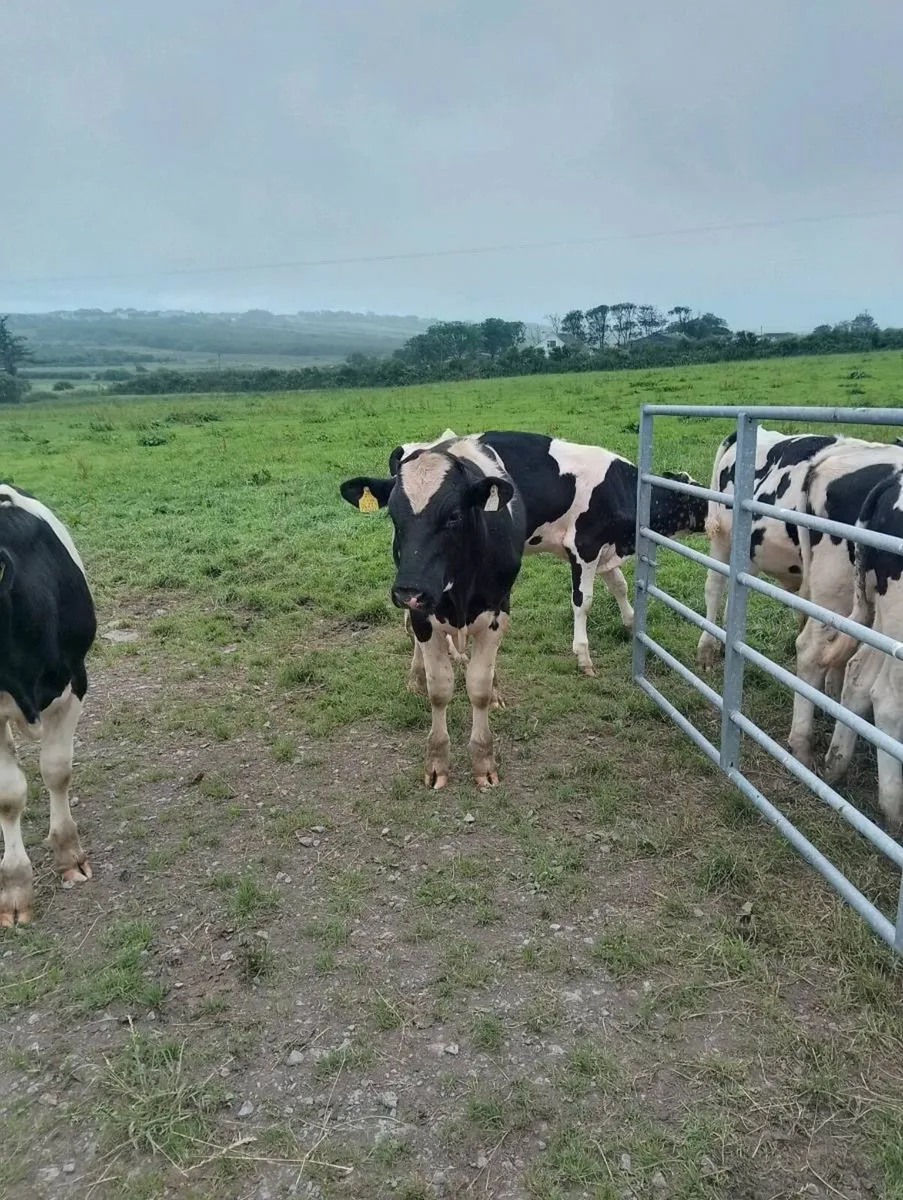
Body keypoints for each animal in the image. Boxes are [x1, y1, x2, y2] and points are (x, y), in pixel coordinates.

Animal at [340, 436, 526, 790]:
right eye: (393, 515)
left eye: (453, 516)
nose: (407, 590)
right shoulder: (422, 616)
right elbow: (439, 689)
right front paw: (437, 762)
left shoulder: (498, 612)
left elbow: (479, 686)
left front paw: (483, 760)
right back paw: (416, 677)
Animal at [389, 431, 708, 677]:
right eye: (701, 499)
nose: (716, 517)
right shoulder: (583, 547)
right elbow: (583, 601)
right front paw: (583, 656)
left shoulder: (604, 551)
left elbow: (620, 585)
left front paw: (631, 624)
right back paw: (452, 654)